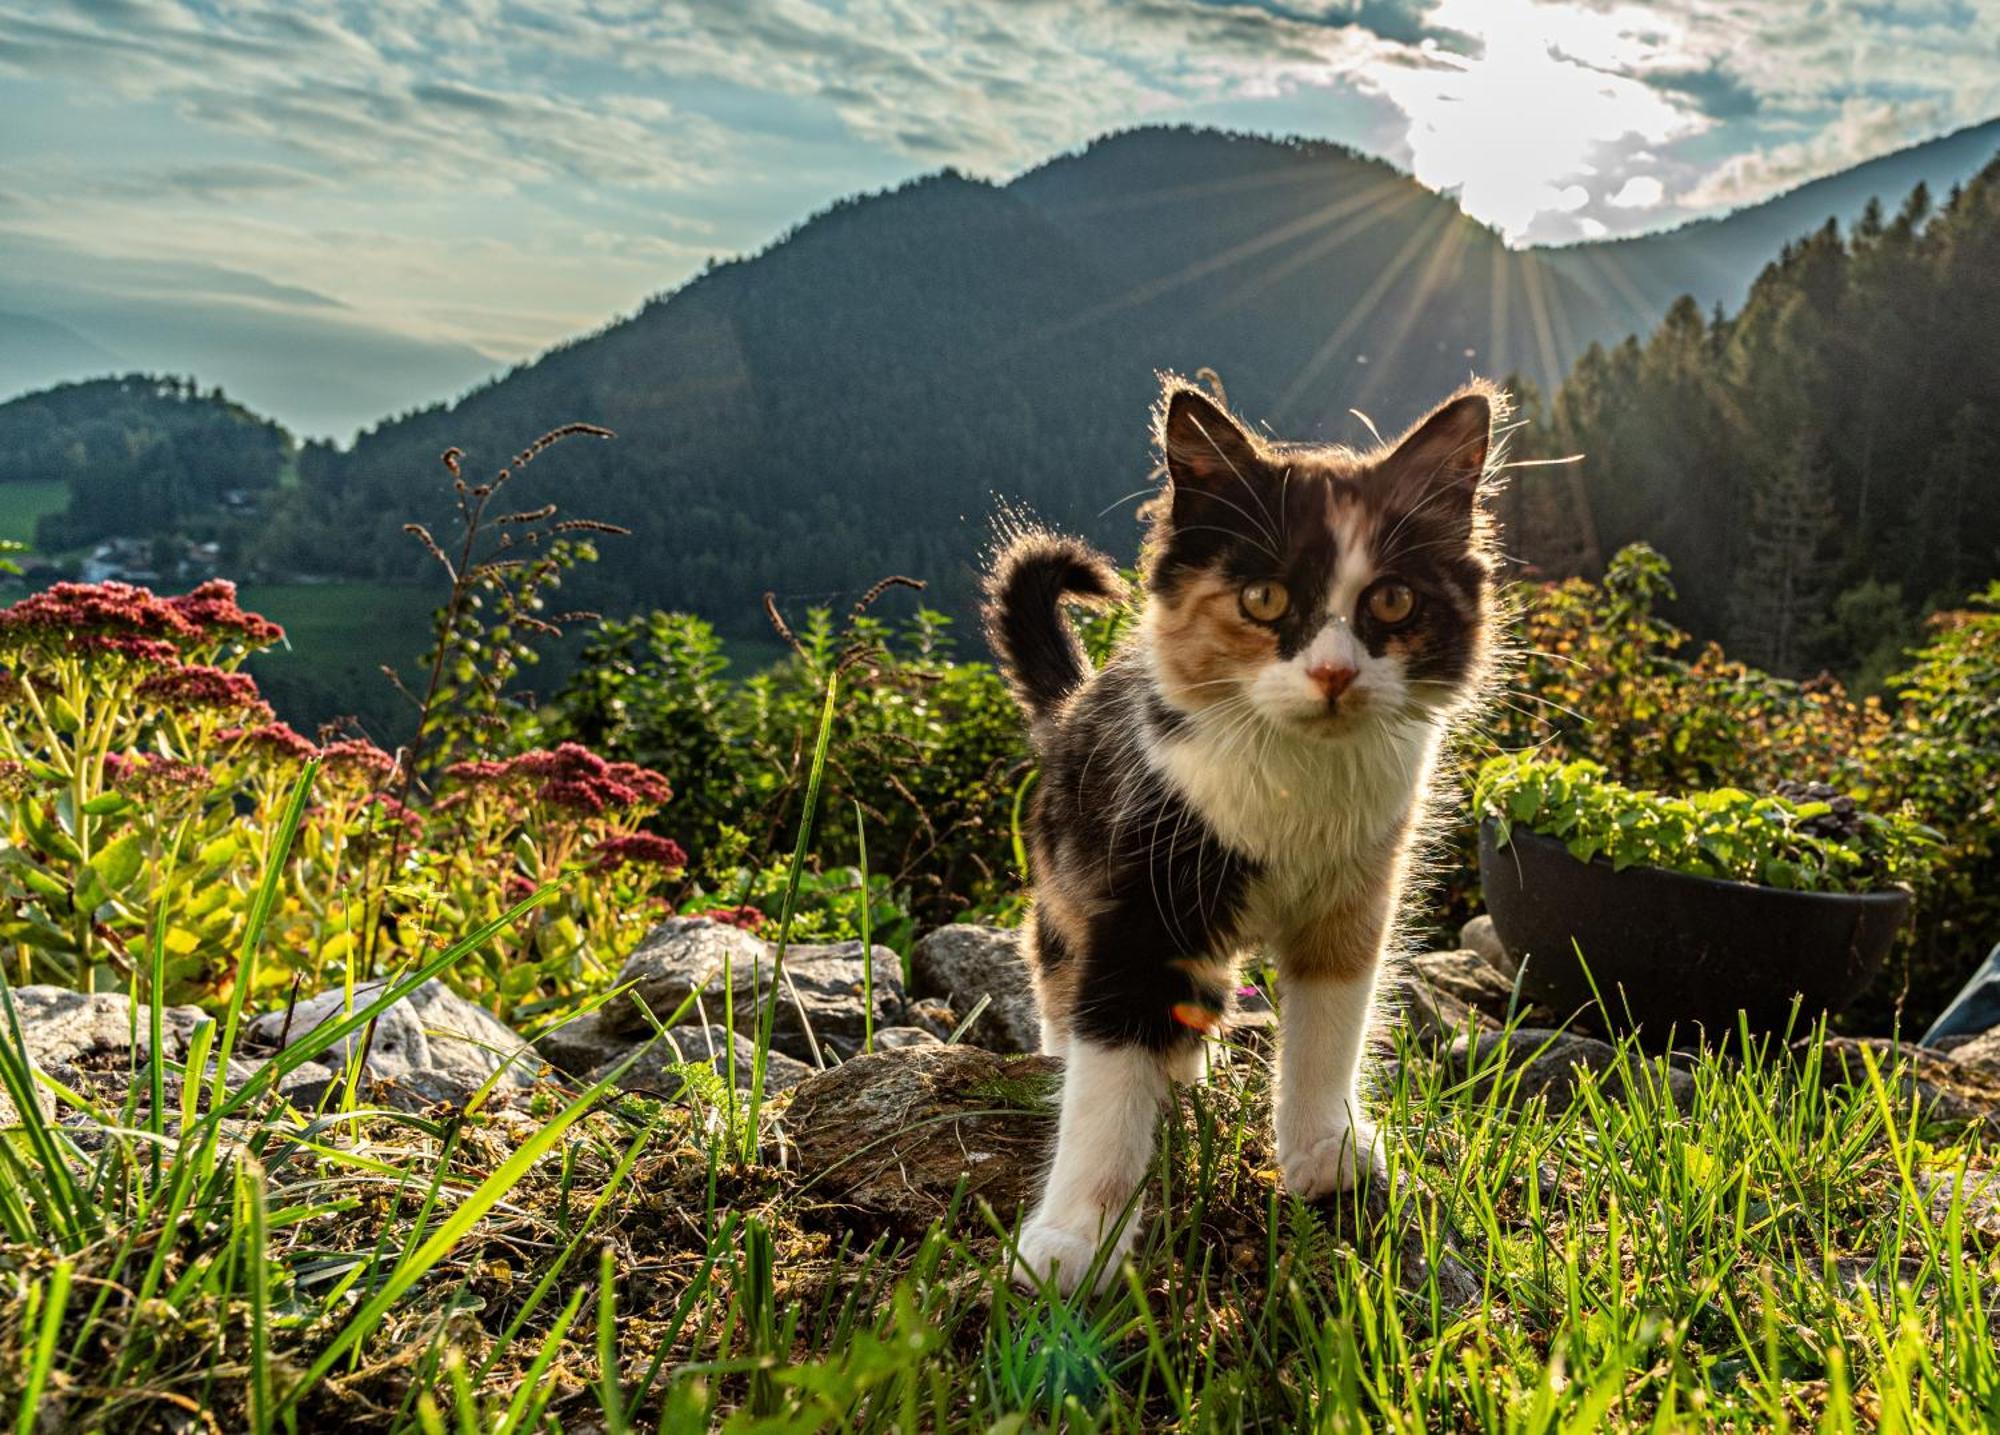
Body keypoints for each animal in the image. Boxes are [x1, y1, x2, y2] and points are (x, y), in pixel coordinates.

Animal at [984, 375, 1504, 1295]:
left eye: (1392, 599)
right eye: (1265, 599)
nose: (1332, 672)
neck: (1298, 785)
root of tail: (1071, 703)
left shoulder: (1356, 897)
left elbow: (1329, 1032)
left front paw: (1324, 1150)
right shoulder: (1139, 902)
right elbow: (1105, 1075)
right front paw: (1076, 1237)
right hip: (1069, 883)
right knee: (1057, 977)